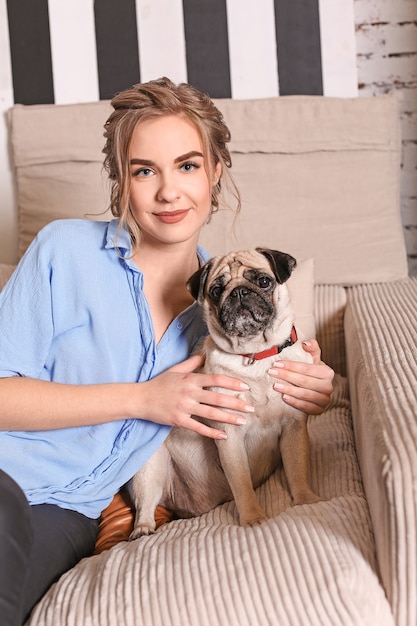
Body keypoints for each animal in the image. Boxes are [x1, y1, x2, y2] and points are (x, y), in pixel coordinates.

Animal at [128, 246, 320, 540]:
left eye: (263, 281)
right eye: (216, 290)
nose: (239, 292)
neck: (255, 354)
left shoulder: (293, 425)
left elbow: (298, 469)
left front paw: (305, 500)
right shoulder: (230, 434)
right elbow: (242, 483)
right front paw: (253, 518)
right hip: (150, 468)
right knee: (146, 502)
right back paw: (143, 529)